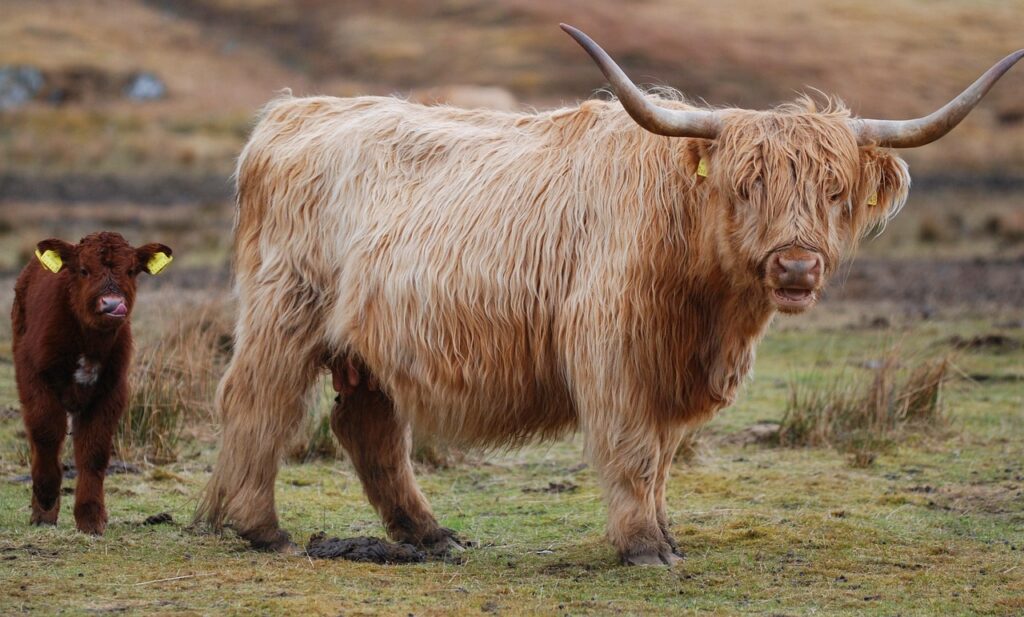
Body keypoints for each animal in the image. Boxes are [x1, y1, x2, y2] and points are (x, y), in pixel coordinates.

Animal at [12, 232, 172, 534]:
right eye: (84, 270)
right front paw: (46, 497)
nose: (111, 304)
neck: (88, 342)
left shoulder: (111, 391)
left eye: (131, 271)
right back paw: (42, 512)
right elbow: (46, 432)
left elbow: (94, 451)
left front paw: (91, 518)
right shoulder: (34, 378)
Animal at [196, 25, 1023, 564]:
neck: (710, 308)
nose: (794, 267)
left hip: (364, 340)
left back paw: (428, 534)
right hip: (284, 310)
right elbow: (632, 451)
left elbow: (662, 457)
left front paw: (666, 534)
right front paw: (643, 547)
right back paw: (257, 526)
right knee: (257, 401)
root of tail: (291, 113)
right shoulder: (614, 351)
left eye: (835, 190)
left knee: (366, 426)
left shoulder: (673, 371)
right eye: (745, 183)